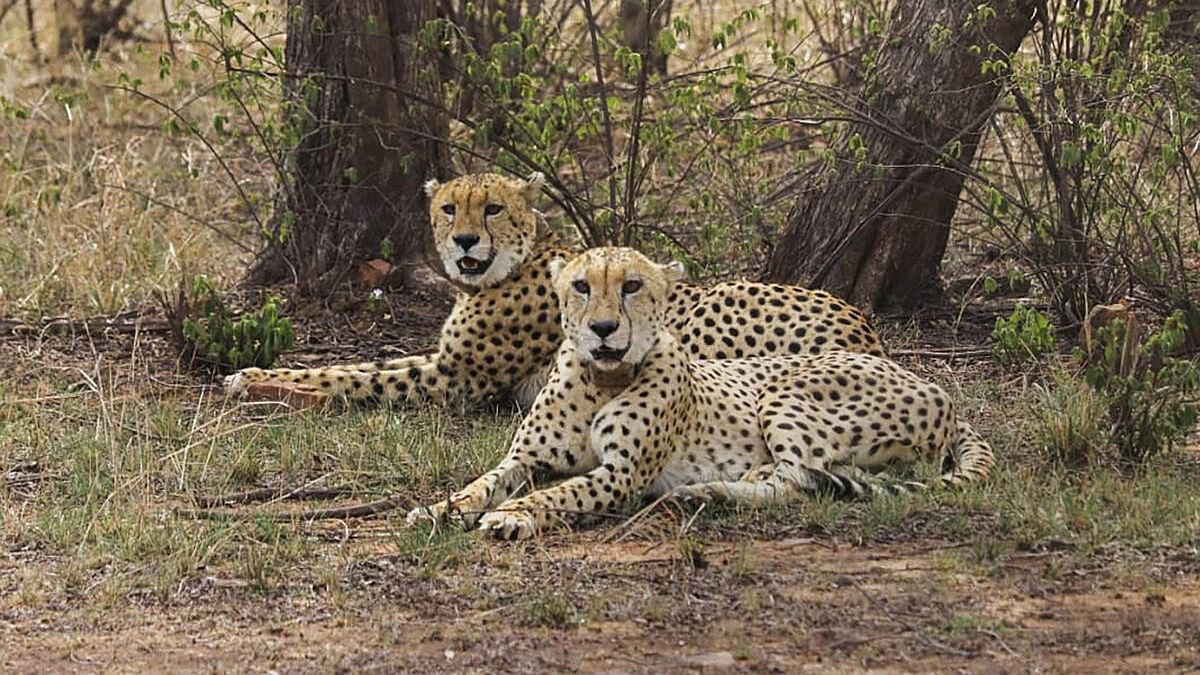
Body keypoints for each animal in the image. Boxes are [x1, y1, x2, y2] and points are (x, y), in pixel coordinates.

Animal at [223, 170, 883, 408]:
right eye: (448, 208)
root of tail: (865, 329)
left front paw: (260, 384)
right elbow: (363, 363)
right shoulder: (444, 360)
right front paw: (255, 374)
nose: (464, 242)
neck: (512, 266)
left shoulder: (458, 379)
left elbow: (355, 378)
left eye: (491, 208)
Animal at [410, 246, 993, 535]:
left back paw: (710, 490)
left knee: (798, 479)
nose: (603, 329)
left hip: (783, 390)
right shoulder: (526, 458)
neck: (601, 379)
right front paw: (440, 510)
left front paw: (513, 515)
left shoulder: (622, 474)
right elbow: (481, 483)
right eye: (581, 286)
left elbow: (560, 492)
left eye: (632, 286)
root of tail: (934, 387)